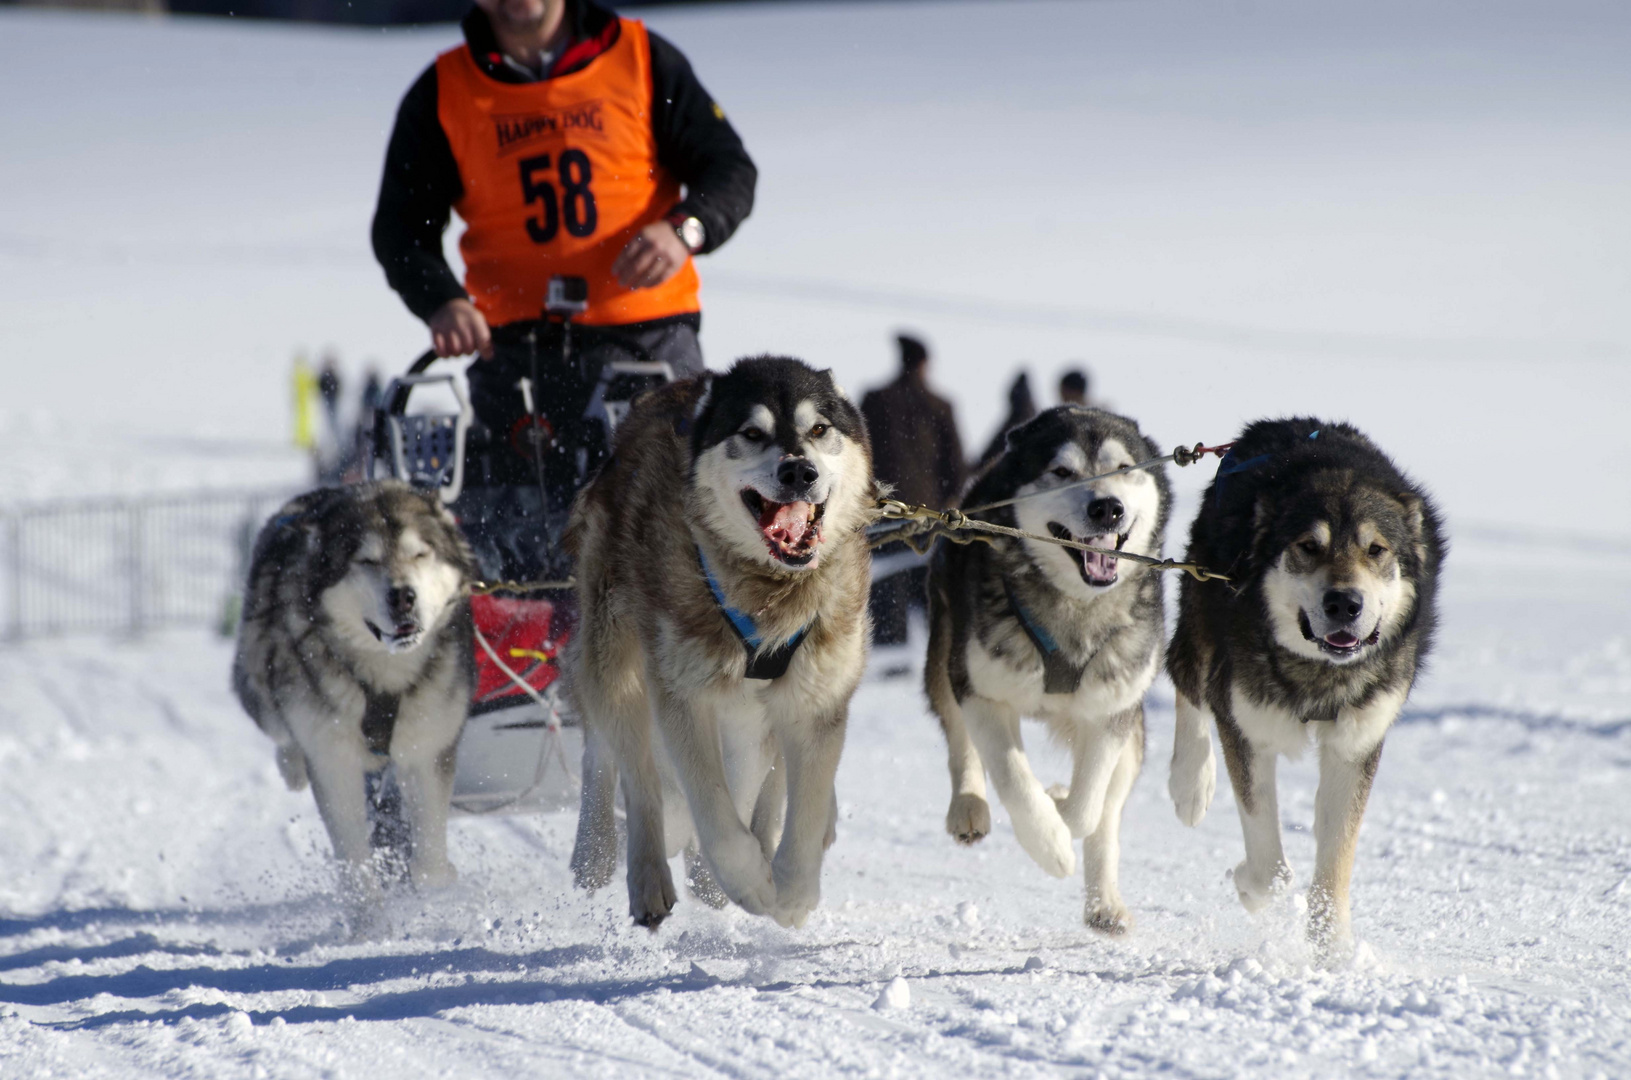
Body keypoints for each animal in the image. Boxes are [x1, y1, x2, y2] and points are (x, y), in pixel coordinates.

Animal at [234, 482, 476, 933]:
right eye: (366, 561)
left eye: (421, 553)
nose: (403, 596)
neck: (384, 675)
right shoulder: (333, 760)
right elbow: (353, 855)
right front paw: (370, 923)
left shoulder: (429, 747)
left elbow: (430, 855)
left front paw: (434, 876)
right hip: (257, 675)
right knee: (281, 729)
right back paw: (291, 766)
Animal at [570, 355, 880, 933]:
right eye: (751, 434)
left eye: (819, 429)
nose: (799, 472)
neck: (769, 594)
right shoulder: (684, 696)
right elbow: (712, 811)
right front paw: (748, 881)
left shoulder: (815, 700)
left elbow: (800, 811)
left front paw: (791, 891)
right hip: (616, 657)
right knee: (625, 767)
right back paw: (621, 863)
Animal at [926, 411, 1167, 933]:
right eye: (1061, 471)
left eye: (1124, 468)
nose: (1107, 508)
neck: (1075, 607)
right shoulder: (982, 692)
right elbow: (1014, 781)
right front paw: (1052, 845)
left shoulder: (1111, 711)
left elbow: (1087, 808)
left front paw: (1059, 803)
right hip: (947, 654)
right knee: (958, 738)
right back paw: (969, 806)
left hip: (1132, 729)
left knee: (1108, 813)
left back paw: (1104, 903)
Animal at [1167, 416, 1448, 965]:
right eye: (1308, 546)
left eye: (1376, 550)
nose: (1344, 602)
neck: (1320, 673)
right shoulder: (1247, 730)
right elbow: (1271, 873)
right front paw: (1250, 888)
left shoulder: (1356, 745)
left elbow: (1335, 862)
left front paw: (1333, 952)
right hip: (1200, 619)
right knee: (1185, 678)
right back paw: (1189, 783)